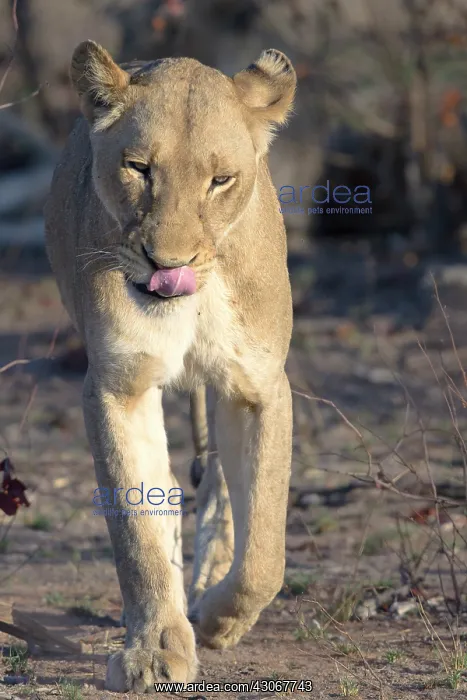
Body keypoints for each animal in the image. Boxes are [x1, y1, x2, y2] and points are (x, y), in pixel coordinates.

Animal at [44, 41, 296, 693]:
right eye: (138, 168)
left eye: (221, 180)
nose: (167, 264)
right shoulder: (119, 384)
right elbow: (138, 527)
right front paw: (156, 649)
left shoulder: (258, 386)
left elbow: (265, 549)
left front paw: (219, 622)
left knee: (227, 492)